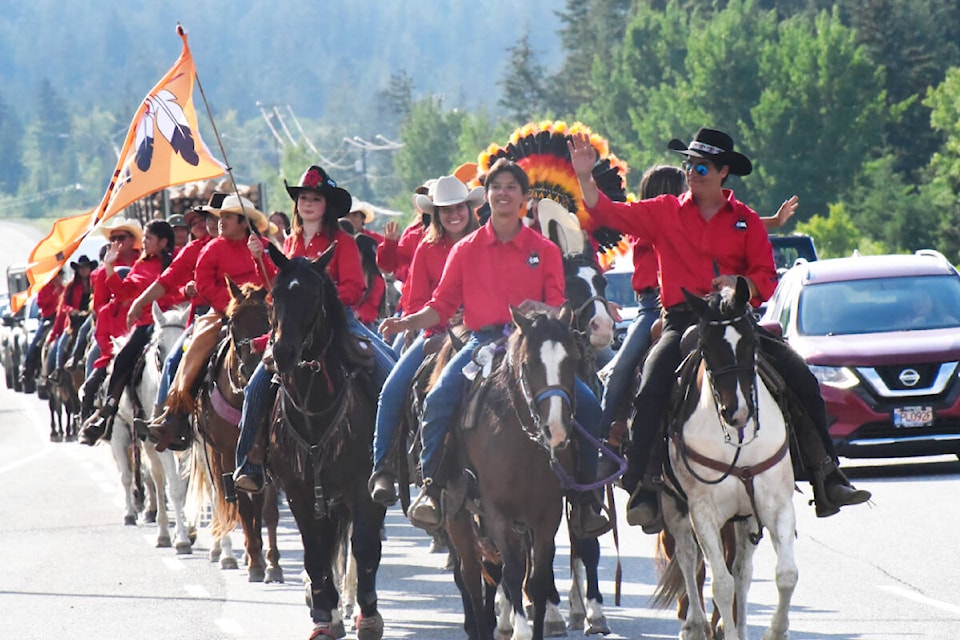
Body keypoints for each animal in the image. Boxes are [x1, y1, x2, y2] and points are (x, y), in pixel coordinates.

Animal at [193, 280, 284, 584]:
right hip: (211, 455)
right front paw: (255, 562)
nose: (252, 367)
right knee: (223, 498)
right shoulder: (229, 455)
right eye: (232, 321)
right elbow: (242, 506)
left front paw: (273, 564)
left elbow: (268, 511)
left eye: (268, 317)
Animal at [264, 244, 384, 640]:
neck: (314, 407)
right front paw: (322, 617)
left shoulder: (362, 488)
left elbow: (364, 547)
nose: (283, 353)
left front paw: (369, 617)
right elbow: (314, 554)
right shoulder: (299, 491)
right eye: (275, 294)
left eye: (314, 295)